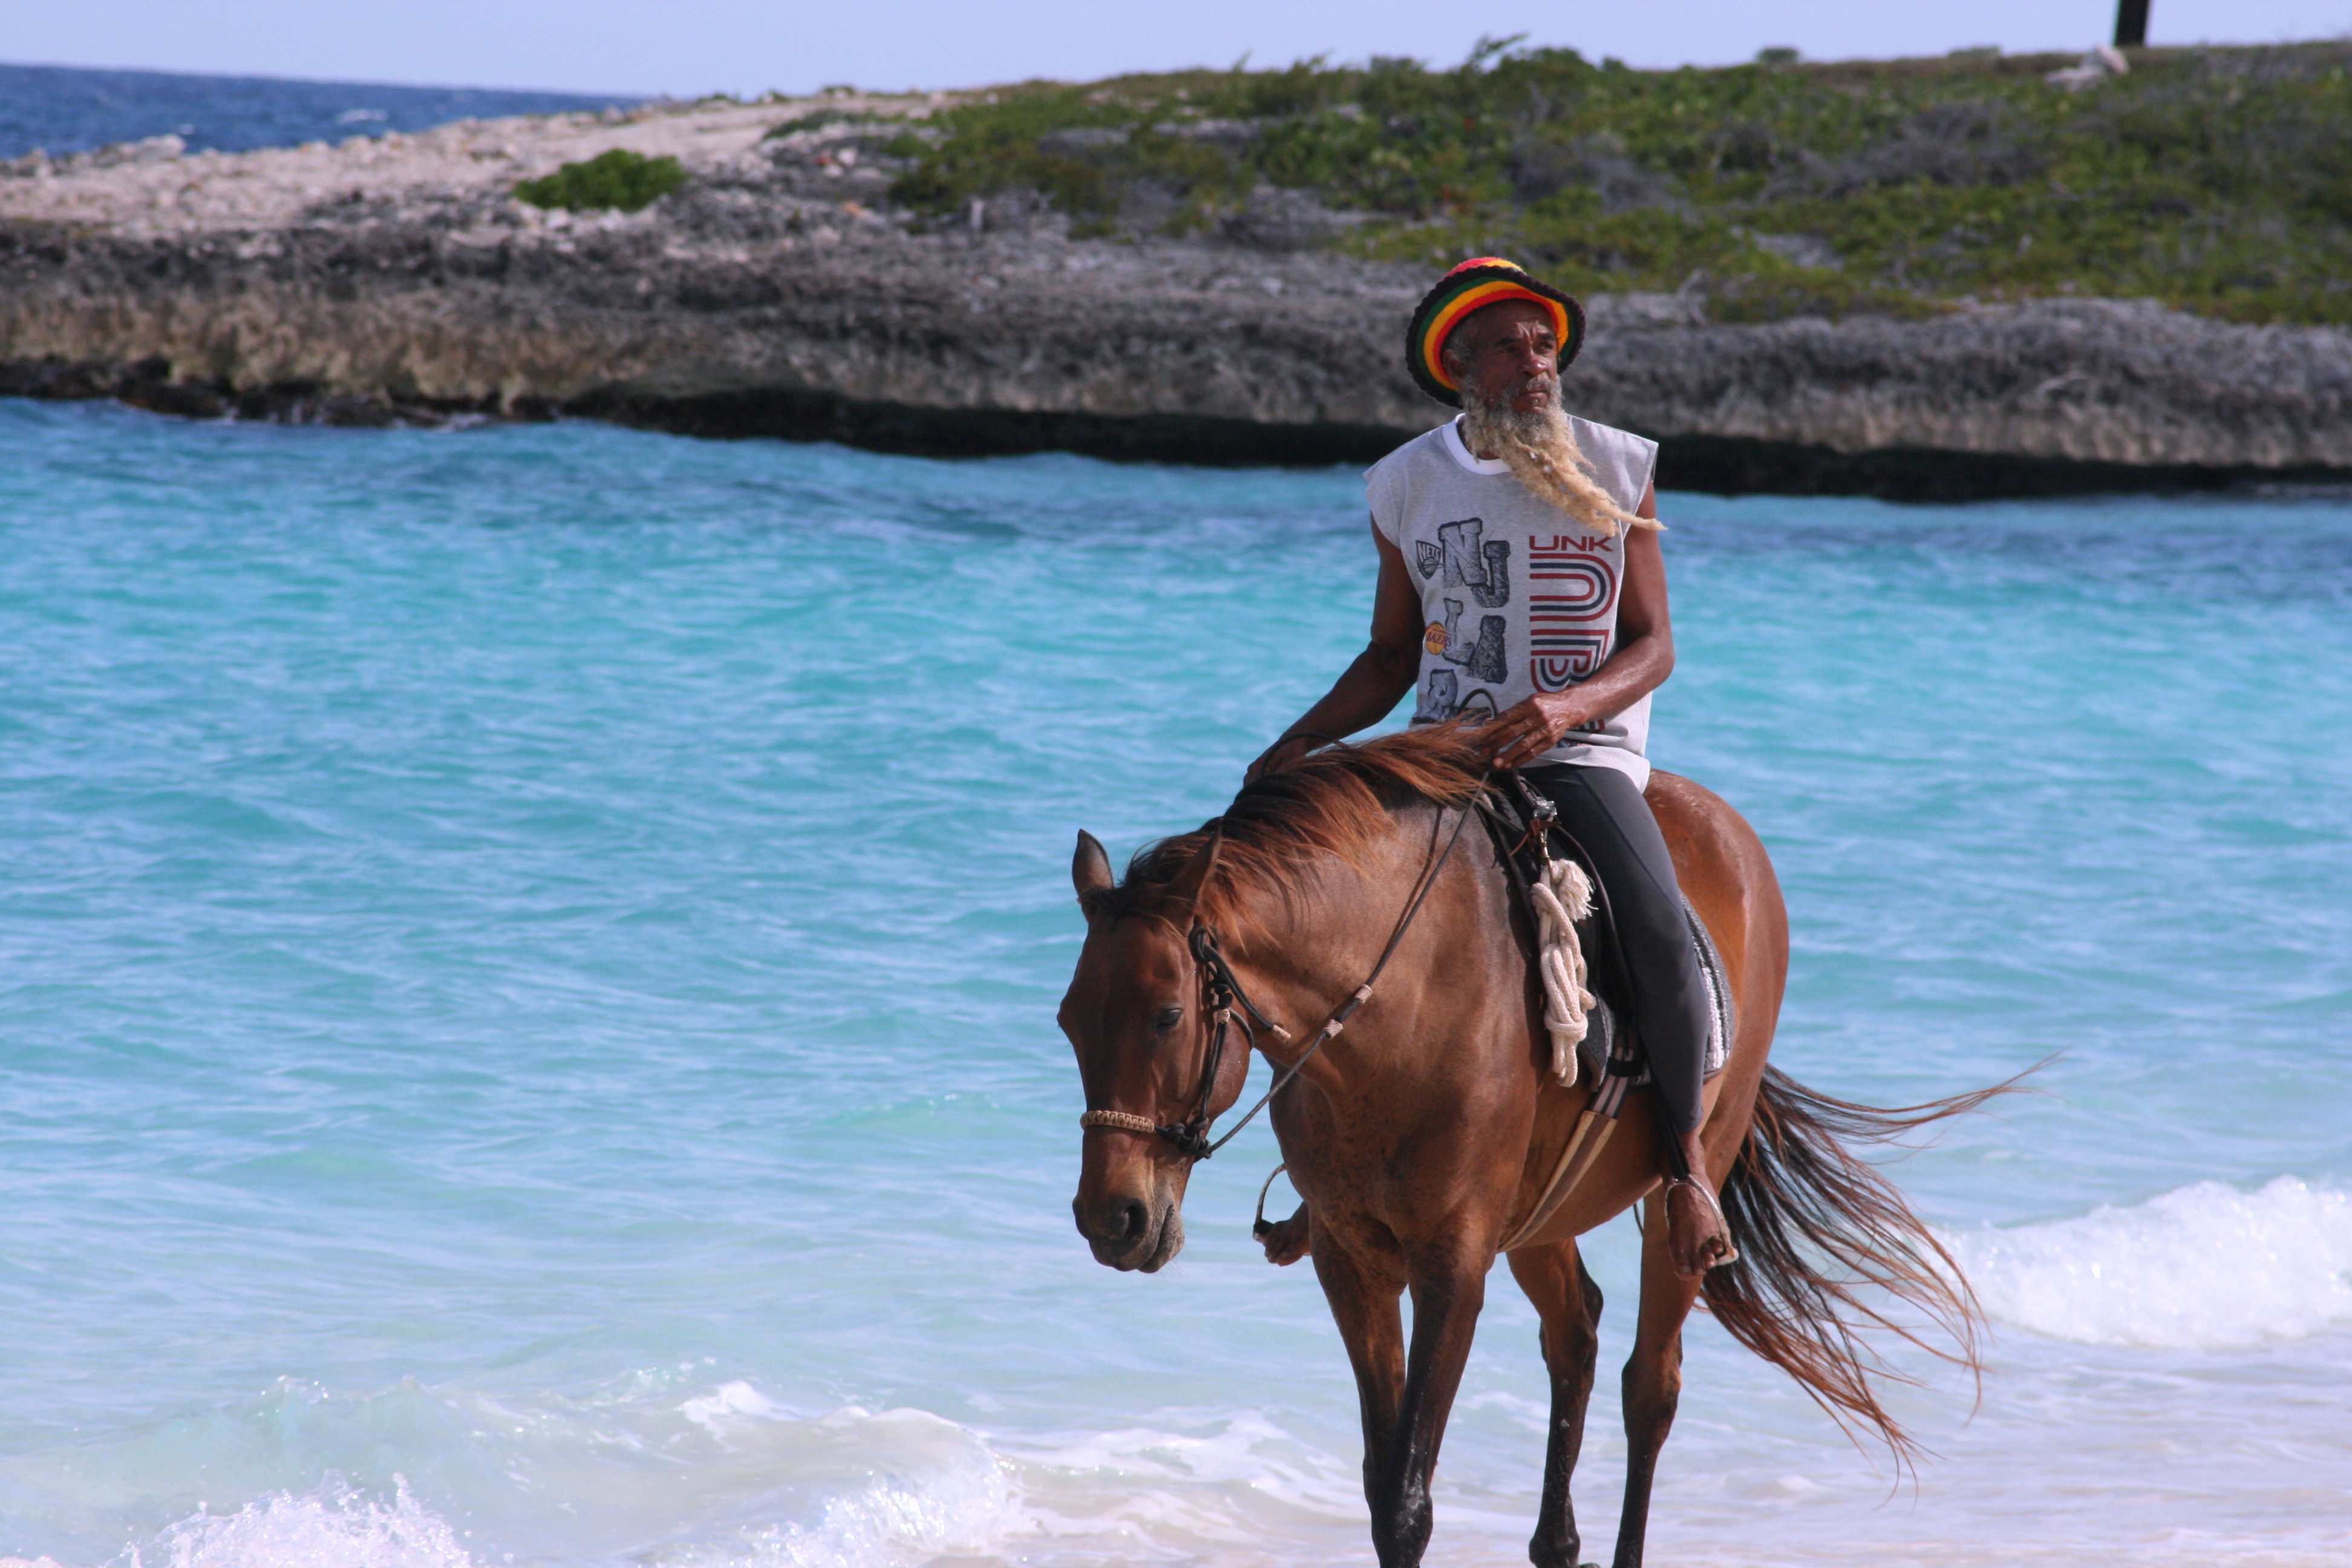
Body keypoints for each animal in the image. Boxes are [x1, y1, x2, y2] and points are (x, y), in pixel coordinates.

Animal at [1057, 727, 1998, 1568]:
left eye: (1166, 1016)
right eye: (1067, 1021)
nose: (1112, 1219)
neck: (1396, 1006)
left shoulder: (1454, 1265)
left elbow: (1405, 1500)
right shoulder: (1351, 1259)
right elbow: (1378, 1482)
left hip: (1681, 1192)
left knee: (1650, 1387)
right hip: (1543, 1216)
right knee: (1575, 1333)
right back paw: (1557, 1543)